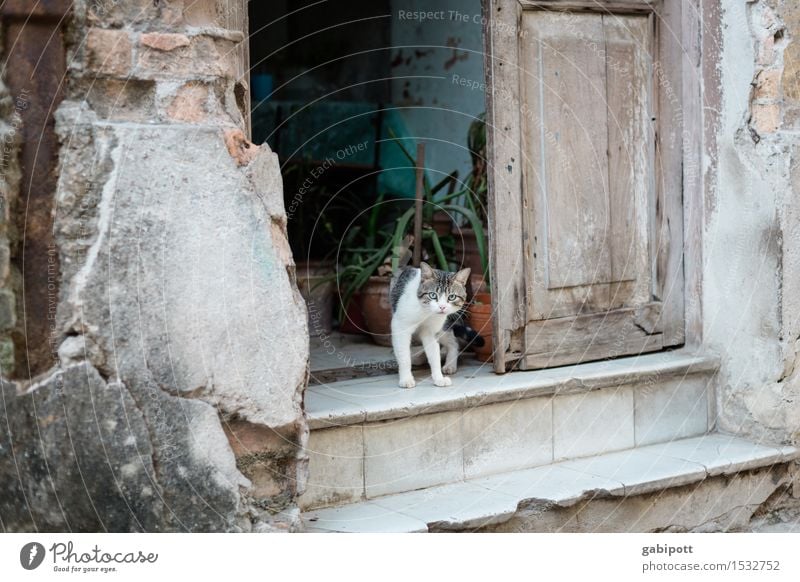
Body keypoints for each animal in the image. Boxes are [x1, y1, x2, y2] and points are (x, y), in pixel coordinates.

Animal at [390, 262, 478, 390]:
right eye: (432, 295)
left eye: (451, 297)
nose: (442, 307)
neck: (426, 312)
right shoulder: (400, 327)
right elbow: (404, 355)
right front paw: (406, 379)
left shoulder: (431, 332)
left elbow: (434, 355)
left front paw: (439, 378)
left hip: (443, 328)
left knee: (453, 342)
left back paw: (450, 365)